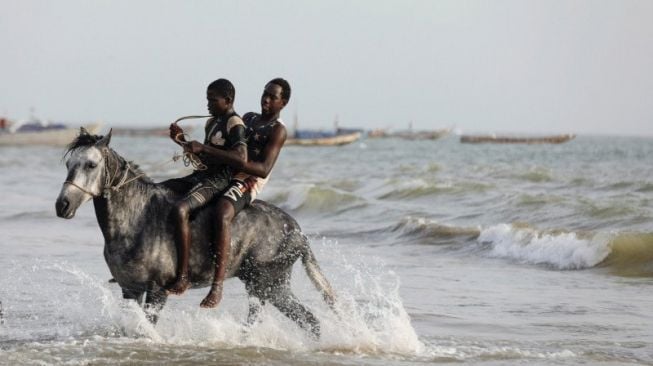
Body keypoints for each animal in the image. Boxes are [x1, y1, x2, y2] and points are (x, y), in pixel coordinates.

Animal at [54, 129, 336, 338]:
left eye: (91, 165)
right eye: (68, 163)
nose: (62, 205)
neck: (137, 218)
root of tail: (297, 230)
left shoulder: (157, 291)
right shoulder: (130, 290)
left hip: (266, 284)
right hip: (270, 287)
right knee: (310, 322)